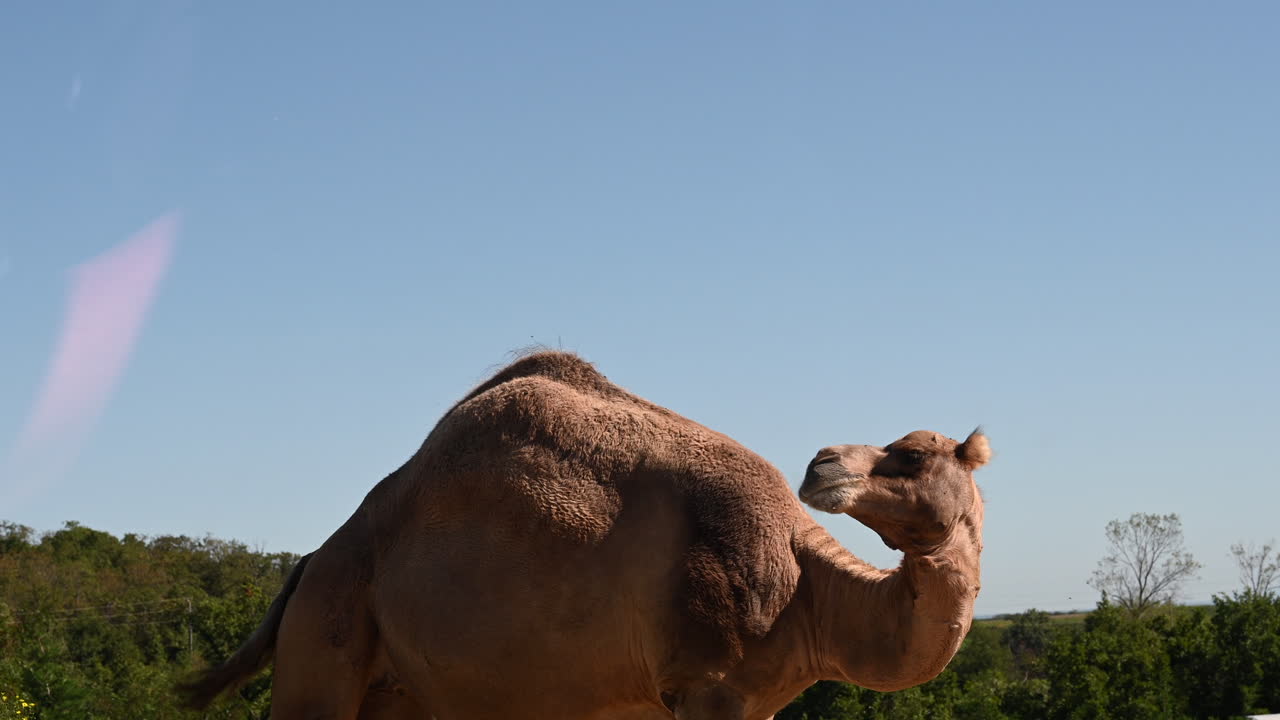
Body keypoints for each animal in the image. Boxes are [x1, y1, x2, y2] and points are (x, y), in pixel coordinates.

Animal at [180, 351, 990, 719]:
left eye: (910, 454)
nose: (822, 462)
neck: (808, 590)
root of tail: (310, 561)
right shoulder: (708, 685)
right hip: (326, 638)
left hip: (399, 687)